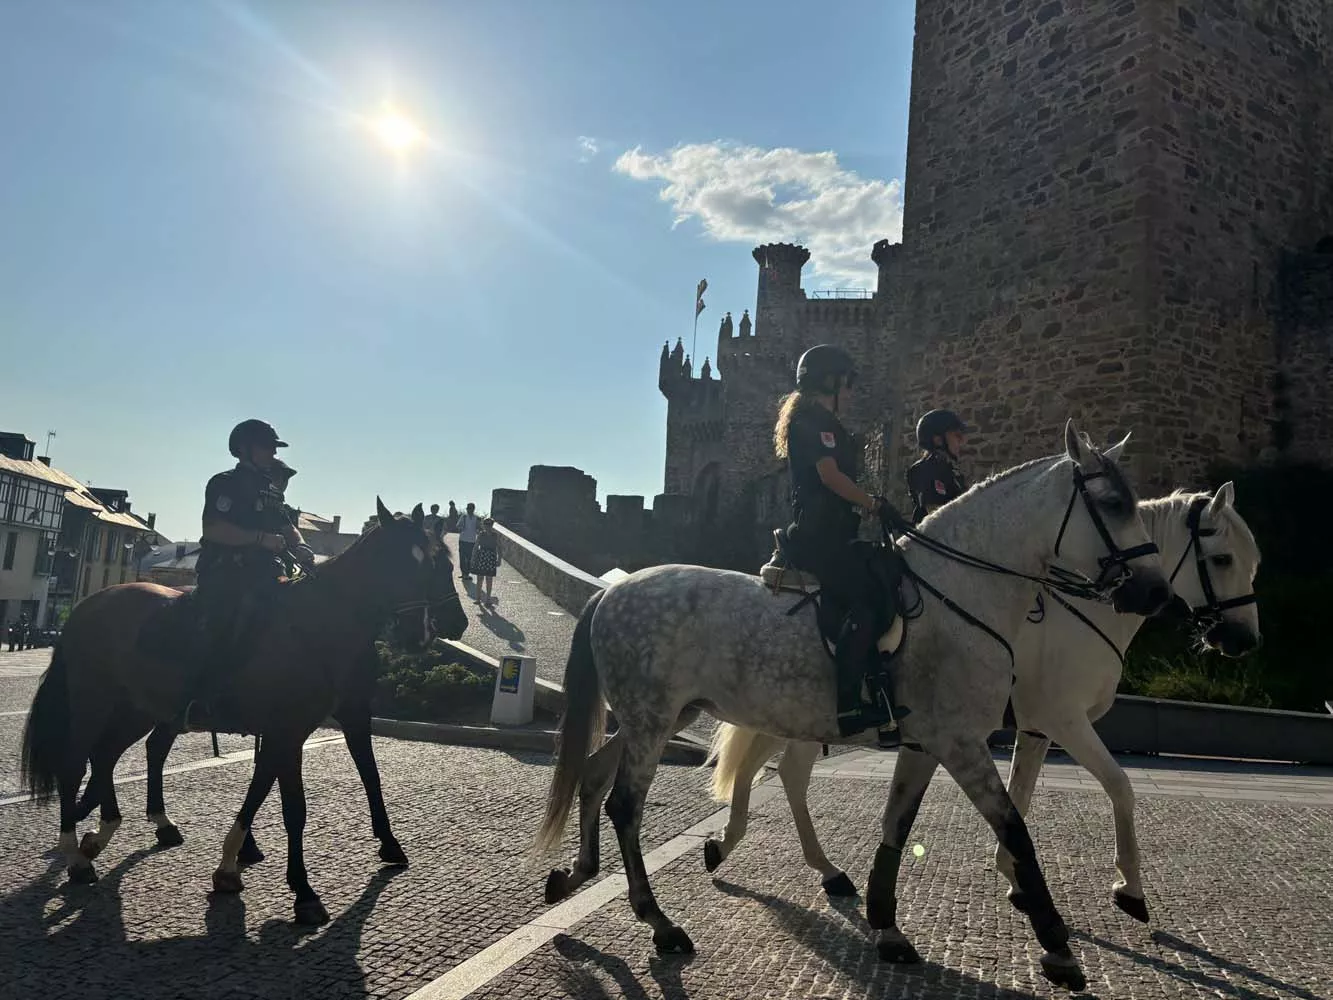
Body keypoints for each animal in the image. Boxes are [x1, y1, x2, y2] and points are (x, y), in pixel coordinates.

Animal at [22, 498, 447, 922]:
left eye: (431, 563)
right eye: (394, 561)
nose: (419, 635)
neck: (320, 624)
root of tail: (87, 606)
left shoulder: (339, 721)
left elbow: (355, 780)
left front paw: (233, 862)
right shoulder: (288, 732)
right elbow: (293, 808)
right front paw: (303, 891)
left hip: (138, 708)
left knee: (108, 756)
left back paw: (111, 831)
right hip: (93, 701)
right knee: (75, 764)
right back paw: (76, 856)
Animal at [535, 424, 1173, 997]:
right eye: (1113, 504)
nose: (1155, 593)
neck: (961, 593)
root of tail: (613, 590)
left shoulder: (926, 743)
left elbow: (896, 826)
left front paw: (887, 928)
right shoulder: (963, 743)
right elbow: (1016, 831)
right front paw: (1058, 947)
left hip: (661, 717)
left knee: (594, 777)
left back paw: (574, 876)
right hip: (651, 721)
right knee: (624, 804)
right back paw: (660, 922)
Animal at [703, 482, 1263, 922]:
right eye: (1222, 559)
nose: (1244, 640)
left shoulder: (1035, 728)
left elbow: (1022, 792)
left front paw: (1014, 876)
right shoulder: (1065, 720)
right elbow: (1120, 787)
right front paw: (1130, 887)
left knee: (779, 771)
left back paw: (783, 858)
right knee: (775, 770)